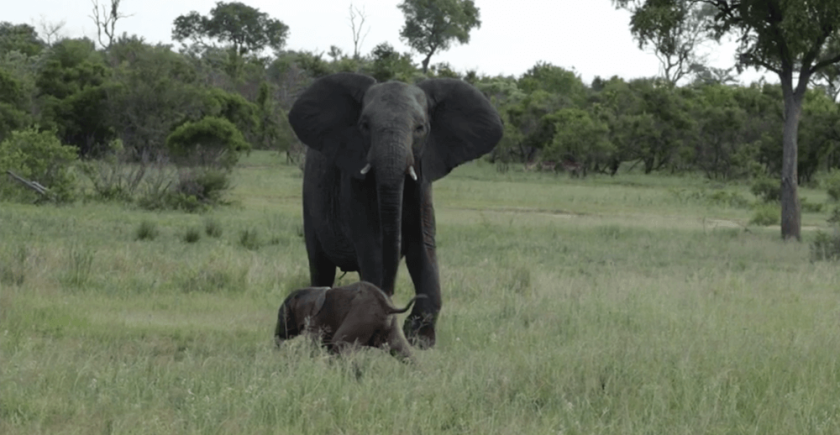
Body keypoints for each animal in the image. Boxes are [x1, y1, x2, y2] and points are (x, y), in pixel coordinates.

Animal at [274, 282, 420, 362]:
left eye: (285, 316)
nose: (277, 347)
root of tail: (386, 305)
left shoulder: (315, 322)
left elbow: (313, 345)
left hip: (360, 318)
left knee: (340, 343)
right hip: (390, 325)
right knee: (403, 351)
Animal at [286, 73, 502, 350]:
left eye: (420, 128)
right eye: (365, 125)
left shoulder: (423, 180)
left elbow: (424, 248)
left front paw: (421, 341)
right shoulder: (353, 182)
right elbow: (373, 246)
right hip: (309, 201)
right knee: (320, 266)